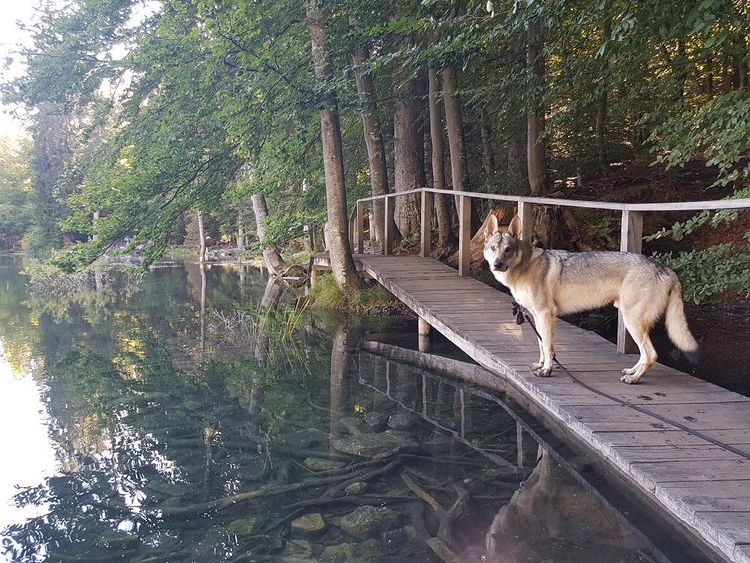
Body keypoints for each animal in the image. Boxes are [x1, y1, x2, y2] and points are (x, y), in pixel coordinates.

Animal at [484, 214, 704, 386]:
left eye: (508, 249)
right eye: (493, 248)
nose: (497, 264)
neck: (523, 268)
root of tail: (666, 269)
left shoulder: (546, 315)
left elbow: (547, 346)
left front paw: (546, 370)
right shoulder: (537, 317)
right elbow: (542, 346)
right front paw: (540, 365)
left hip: (633, 322)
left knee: (651, 355)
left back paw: (634, 379)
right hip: (631, 321)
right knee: (644, 355)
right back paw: (631, 372)